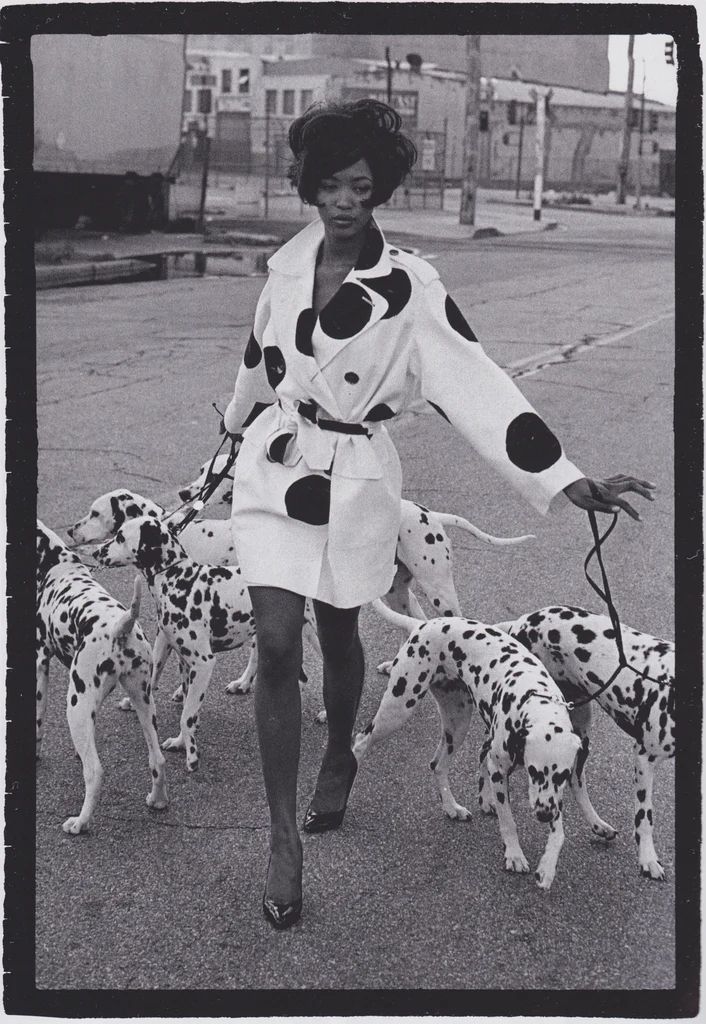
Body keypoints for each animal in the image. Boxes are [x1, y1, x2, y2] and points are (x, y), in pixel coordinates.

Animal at [36, 520, 169, 831]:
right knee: (158, 760)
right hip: (143, 703)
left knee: (95, 772)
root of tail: (122, 625)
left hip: (76, 706)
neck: (54, 564)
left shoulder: (39, 664)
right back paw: (157, 800)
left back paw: (80, 822)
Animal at [352, 598, 577, 888]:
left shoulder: (552, 792)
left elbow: (559, 833)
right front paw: (514, 855)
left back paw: (451, 808)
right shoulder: (499, 771)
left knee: (437, 765)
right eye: (533, 771)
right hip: (399, 707)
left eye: (562, 776)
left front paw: (547, 867)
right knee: (360, 741)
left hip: (457, 725)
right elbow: (508, 821)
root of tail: (423, 624)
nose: (543, 815)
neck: (534, 697)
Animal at [493, 606, 676, 880]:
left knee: (575, 781)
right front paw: (648, 859)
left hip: (579, 737)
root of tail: (525, 619)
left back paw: (597, 824)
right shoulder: (645, 758)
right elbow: (645, 818)